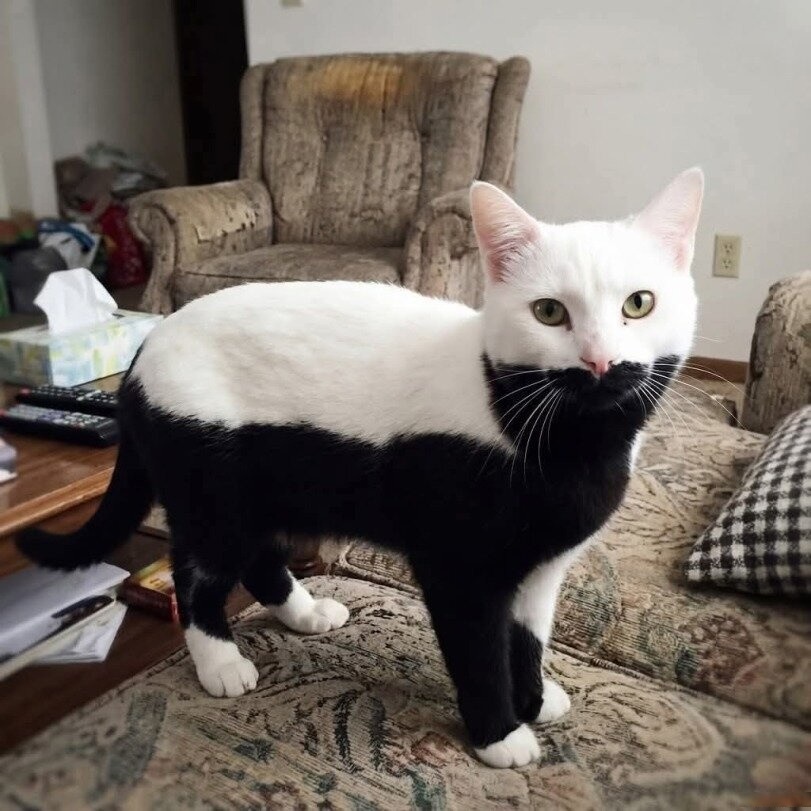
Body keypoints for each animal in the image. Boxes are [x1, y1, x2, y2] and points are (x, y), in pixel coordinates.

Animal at [18, 167, 702, 769]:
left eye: (639, 304)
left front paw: (533, 698)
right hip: (213, 493)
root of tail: (144, 348)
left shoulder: (541, 568)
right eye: (550, 313)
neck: (566, 451)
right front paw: (499, 732)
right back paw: (221, 664)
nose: (599, 361)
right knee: (198, 577)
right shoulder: (458, 566)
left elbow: (527, 638)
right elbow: (480, 650)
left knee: (258, 558)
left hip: (264, 493)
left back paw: (304, 613)